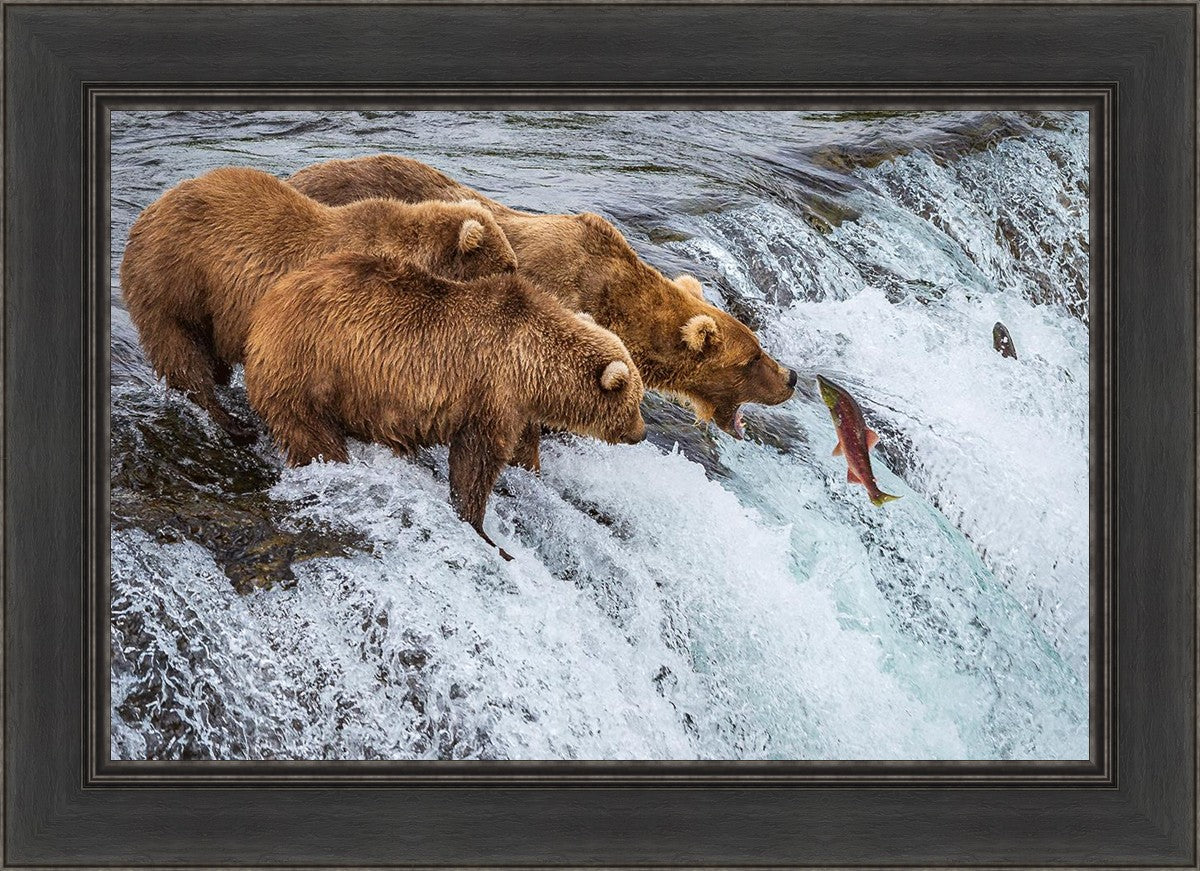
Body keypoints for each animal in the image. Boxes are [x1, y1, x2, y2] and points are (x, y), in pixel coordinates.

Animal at [120, 166, 518, 444]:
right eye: (508, 265)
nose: (519, 279)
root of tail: (147, 212)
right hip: (175, 282)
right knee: (181, 353)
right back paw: (232, 423)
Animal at [243, 251, 646, 559]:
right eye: (635, 402)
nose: (641, 433)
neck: (533, 365)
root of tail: (266, 306)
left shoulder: (516, 406)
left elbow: (520, 449)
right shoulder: (491, 391)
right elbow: (476, 461)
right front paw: (483, 529)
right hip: (310, 369)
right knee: (312, 434)